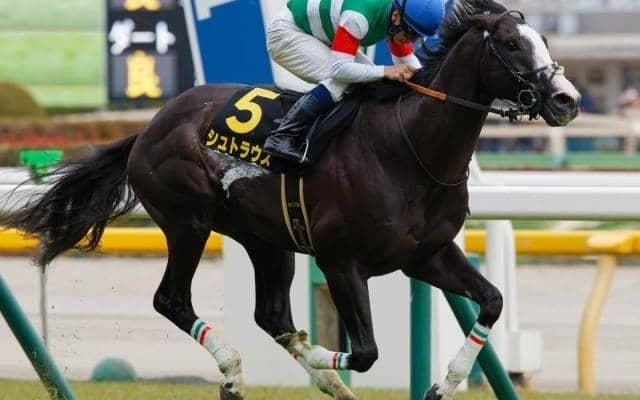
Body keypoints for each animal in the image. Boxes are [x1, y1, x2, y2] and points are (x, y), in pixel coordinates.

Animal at [2, 0, 580, 399]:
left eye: (544, 40)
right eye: (511, 45)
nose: (566, 100)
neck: (408, 147)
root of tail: (149, 126)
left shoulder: (427, 254)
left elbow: (492, 301)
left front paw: (443, 384)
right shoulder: (341, 260)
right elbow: (365, 352)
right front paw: (323, 356)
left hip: (266, 239)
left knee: (272, 315)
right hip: (188, 221)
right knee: (172, 301)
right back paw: (234, 372)